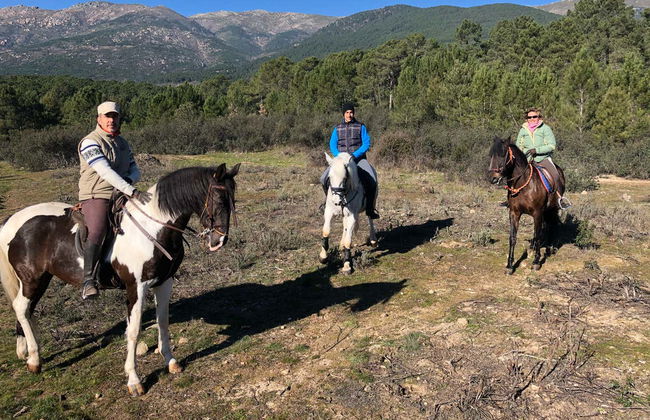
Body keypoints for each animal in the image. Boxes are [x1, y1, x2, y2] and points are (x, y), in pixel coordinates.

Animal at [0, 163, 240, 395]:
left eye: (233, 198)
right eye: (219, 199)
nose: (219, 240)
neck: (153, 228)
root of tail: (12, 221)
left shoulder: (164, 282)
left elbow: (162, 321)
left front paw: (170, 362)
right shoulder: (137, 287)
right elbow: (133, 331)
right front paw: (134, 381)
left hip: (42, 279)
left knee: (28, 311)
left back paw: (34, 352)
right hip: (31, 279)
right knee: (21, 308)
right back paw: (34, 359)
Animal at [488, 137, 564, 274]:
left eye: (502, 155)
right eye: (490, 155)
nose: (493, 178)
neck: (523, 185)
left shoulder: (537, 213)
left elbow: (537, 235)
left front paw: (536, 262)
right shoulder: (514, 213)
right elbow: (513, 237)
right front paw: (510, 265)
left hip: (553, 208)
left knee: (551, 226)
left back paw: (550, 248)